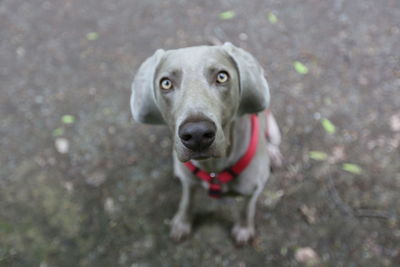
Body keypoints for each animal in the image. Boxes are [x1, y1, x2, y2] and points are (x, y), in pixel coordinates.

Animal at [130, 43, 282, 246]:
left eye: (222, 76)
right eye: (166, 83)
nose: (197, 134)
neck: (213, 169)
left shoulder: (253, 189)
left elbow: (246, 208)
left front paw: (243, 230)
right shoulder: (189, 183)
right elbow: (187, 201)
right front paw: (182, 223)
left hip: (273, 126)